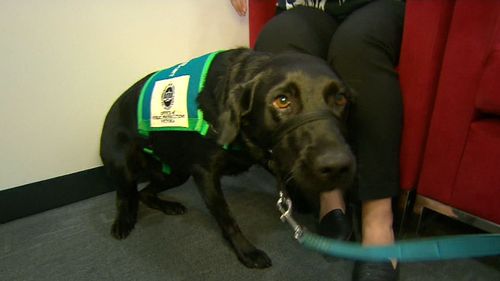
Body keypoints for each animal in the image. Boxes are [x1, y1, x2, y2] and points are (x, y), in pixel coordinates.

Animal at [98, 48, 356, 266]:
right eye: (282, 100)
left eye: (340, 99)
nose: (337, 166)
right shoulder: (205, 173)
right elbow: (227, 217)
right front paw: (246, 251)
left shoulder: (263, 154)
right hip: (123, 167)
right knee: (125, 195)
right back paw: (123, 222)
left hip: (175, 173)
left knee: (144, 193)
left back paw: (167, 206)